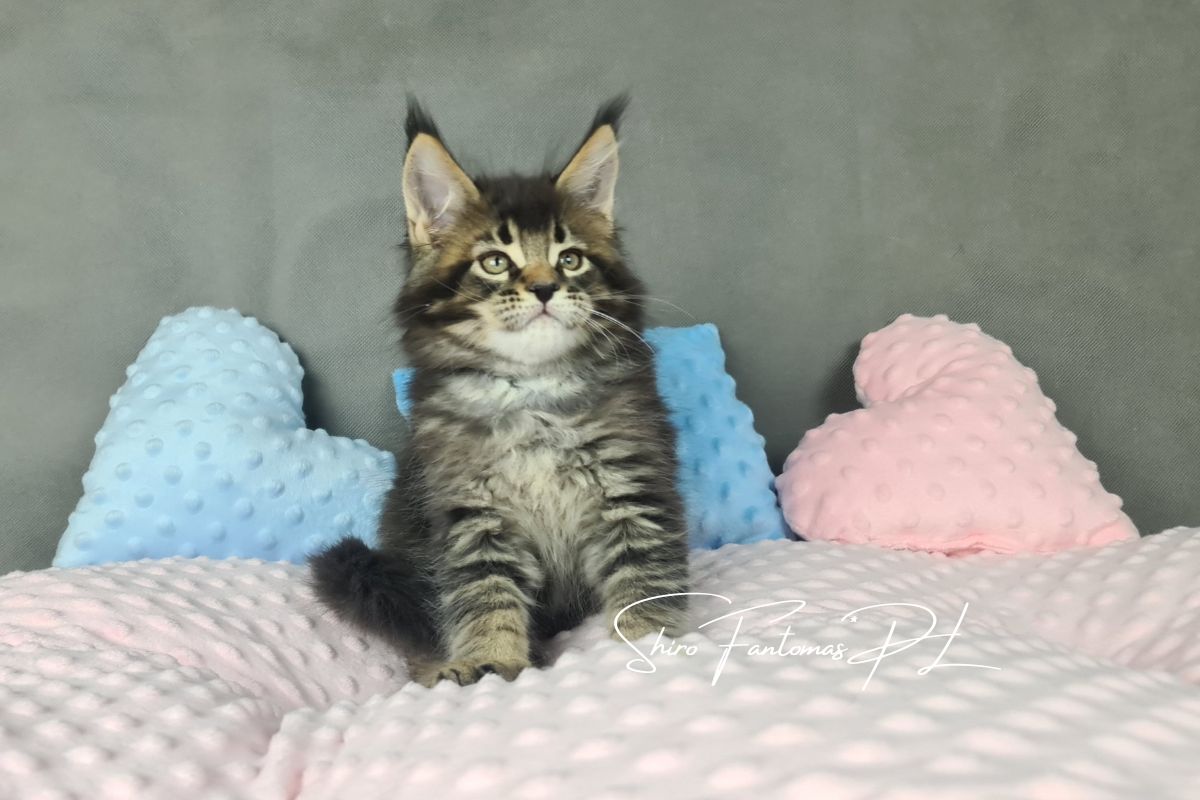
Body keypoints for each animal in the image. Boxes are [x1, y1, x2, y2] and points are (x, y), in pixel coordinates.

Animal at [308, 97, 688, 687]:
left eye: (570, 258)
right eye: (495, 261)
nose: (545, 287)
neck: (532, 392)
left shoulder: (632, 487)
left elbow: (643, 579)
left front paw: (649, 645)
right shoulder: (472, 513)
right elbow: (486, 595)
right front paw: (492, 662)